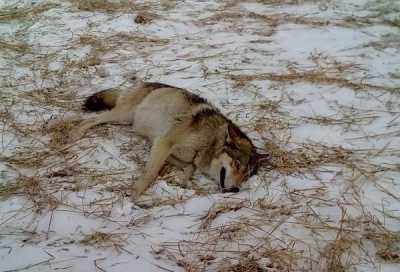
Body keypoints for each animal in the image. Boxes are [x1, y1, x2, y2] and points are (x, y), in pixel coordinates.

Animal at [69, 79, 270, 197]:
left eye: (246, 176)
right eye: (236, 165)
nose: (236, 189)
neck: (208, 143)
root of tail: (142, 83)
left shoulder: (160, 145)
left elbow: (189, 167)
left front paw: (181, 180)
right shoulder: (164, 143)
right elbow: (150, 174)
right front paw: (134, 194)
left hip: (125, 120)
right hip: (123, 115)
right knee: (91, 120)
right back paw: (75, 133)